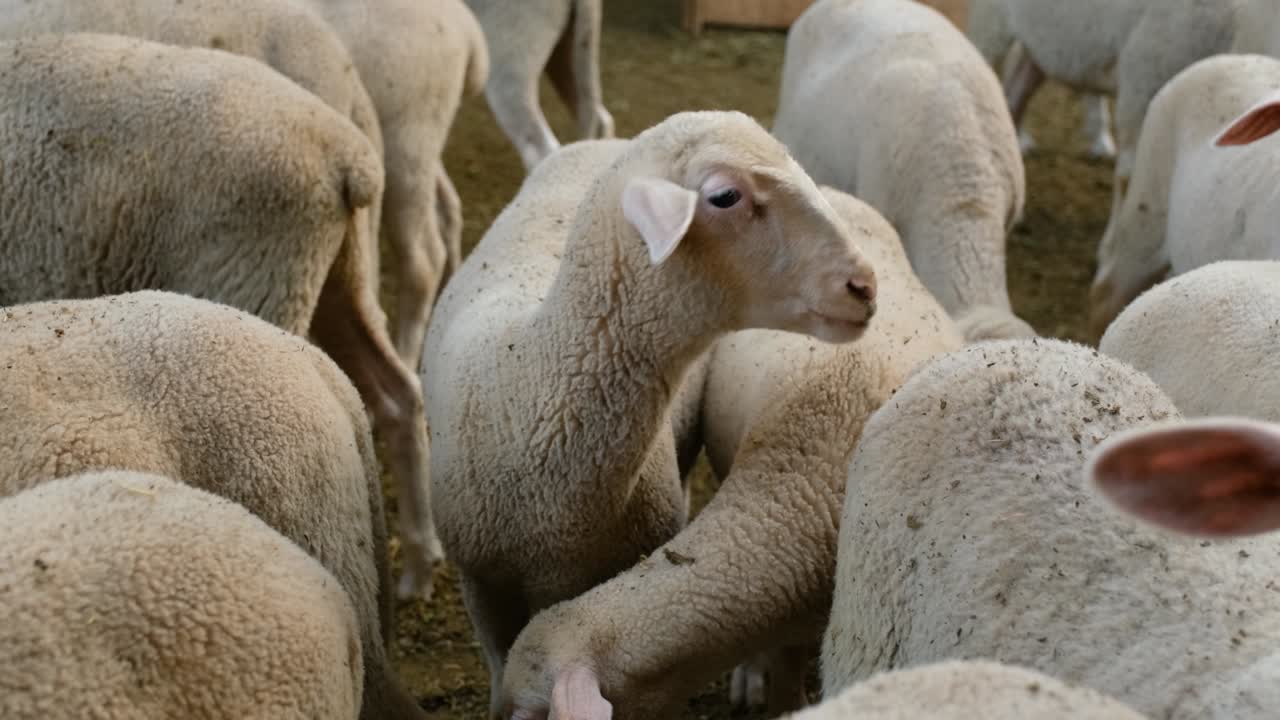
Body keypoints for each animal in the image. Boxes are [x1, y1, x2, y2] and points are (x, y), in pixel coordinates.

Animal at [305, 0, 490, 368]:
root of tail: (465, 27)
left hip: (407, 139)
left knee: (423, 260)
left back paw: (406, 355)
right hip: (423, 146)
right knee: (449, 209)